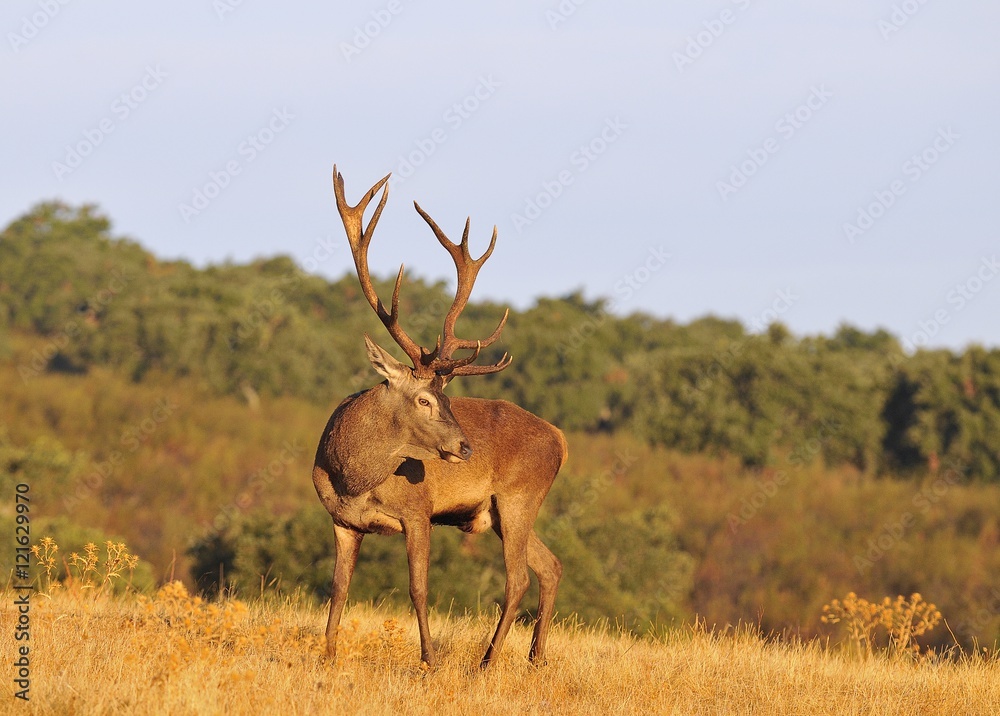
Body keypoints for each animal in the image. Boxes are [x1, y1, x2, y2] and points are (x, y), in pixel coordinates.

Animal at [311, 167, 567, 669]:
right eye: (425, 400)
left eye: (446, 397)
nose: (466, 446)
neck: (350, 474)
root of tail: (561, 438)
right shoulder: (342, 521)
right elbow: (338, 589)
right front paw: (326, 656)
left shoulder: (418, 512)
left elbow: (418, 588)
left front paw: (429, 660)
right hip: (502, 510)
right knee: (550, 567)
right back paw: (535, 658)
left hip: (519, 496)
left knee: (518, 578)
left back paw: (486, 663)